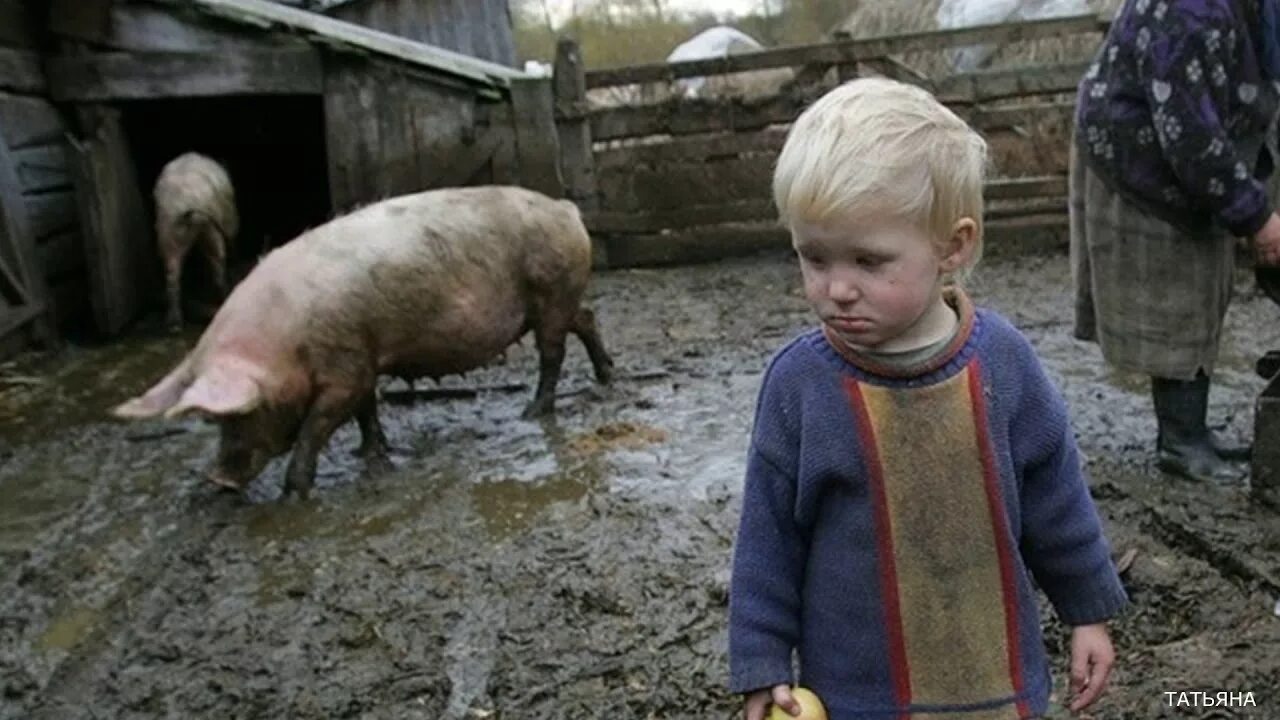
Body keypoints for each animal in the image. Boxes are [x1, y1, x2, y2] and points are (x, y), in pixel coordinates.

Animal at [108, 185, 609, 491]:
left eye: (239, 413)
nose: (217, 479)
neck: (287, 339)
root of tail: (565, 210)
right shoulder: (362, 355)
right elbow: (366, 407)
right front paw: (368, 452)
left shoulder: (342, 363)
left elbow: (319, 423)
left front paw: (295, 492)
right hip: (556, 299)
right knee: (585, 319)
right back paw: (606, 376)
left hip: (551, 291)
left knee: (553, 353)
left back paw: (534, 411)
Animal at [153, 153, 239, 330]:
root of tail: (189, 203)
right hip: (211, 230)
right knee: (218, 265)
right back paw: (223, 296)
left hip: (170, 233)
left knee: (172, 275)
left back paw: (174, 323)